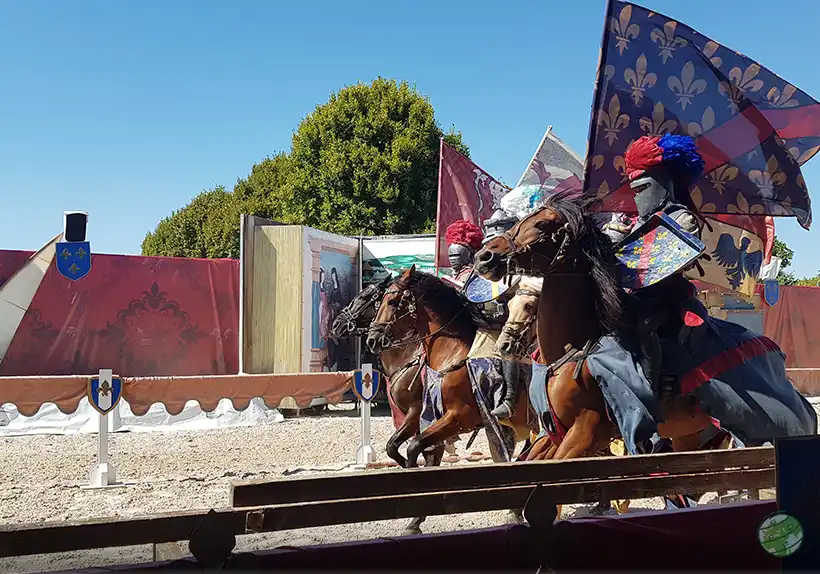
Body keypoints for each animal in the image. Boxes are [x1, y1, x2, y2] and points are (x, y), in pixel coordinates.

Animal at [474, 189, 812, 500]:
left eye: (542, 224)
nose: (484, 256)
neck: (573, 345)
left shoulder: (587, 432)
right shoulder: (553, 432)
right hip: (693, 436)